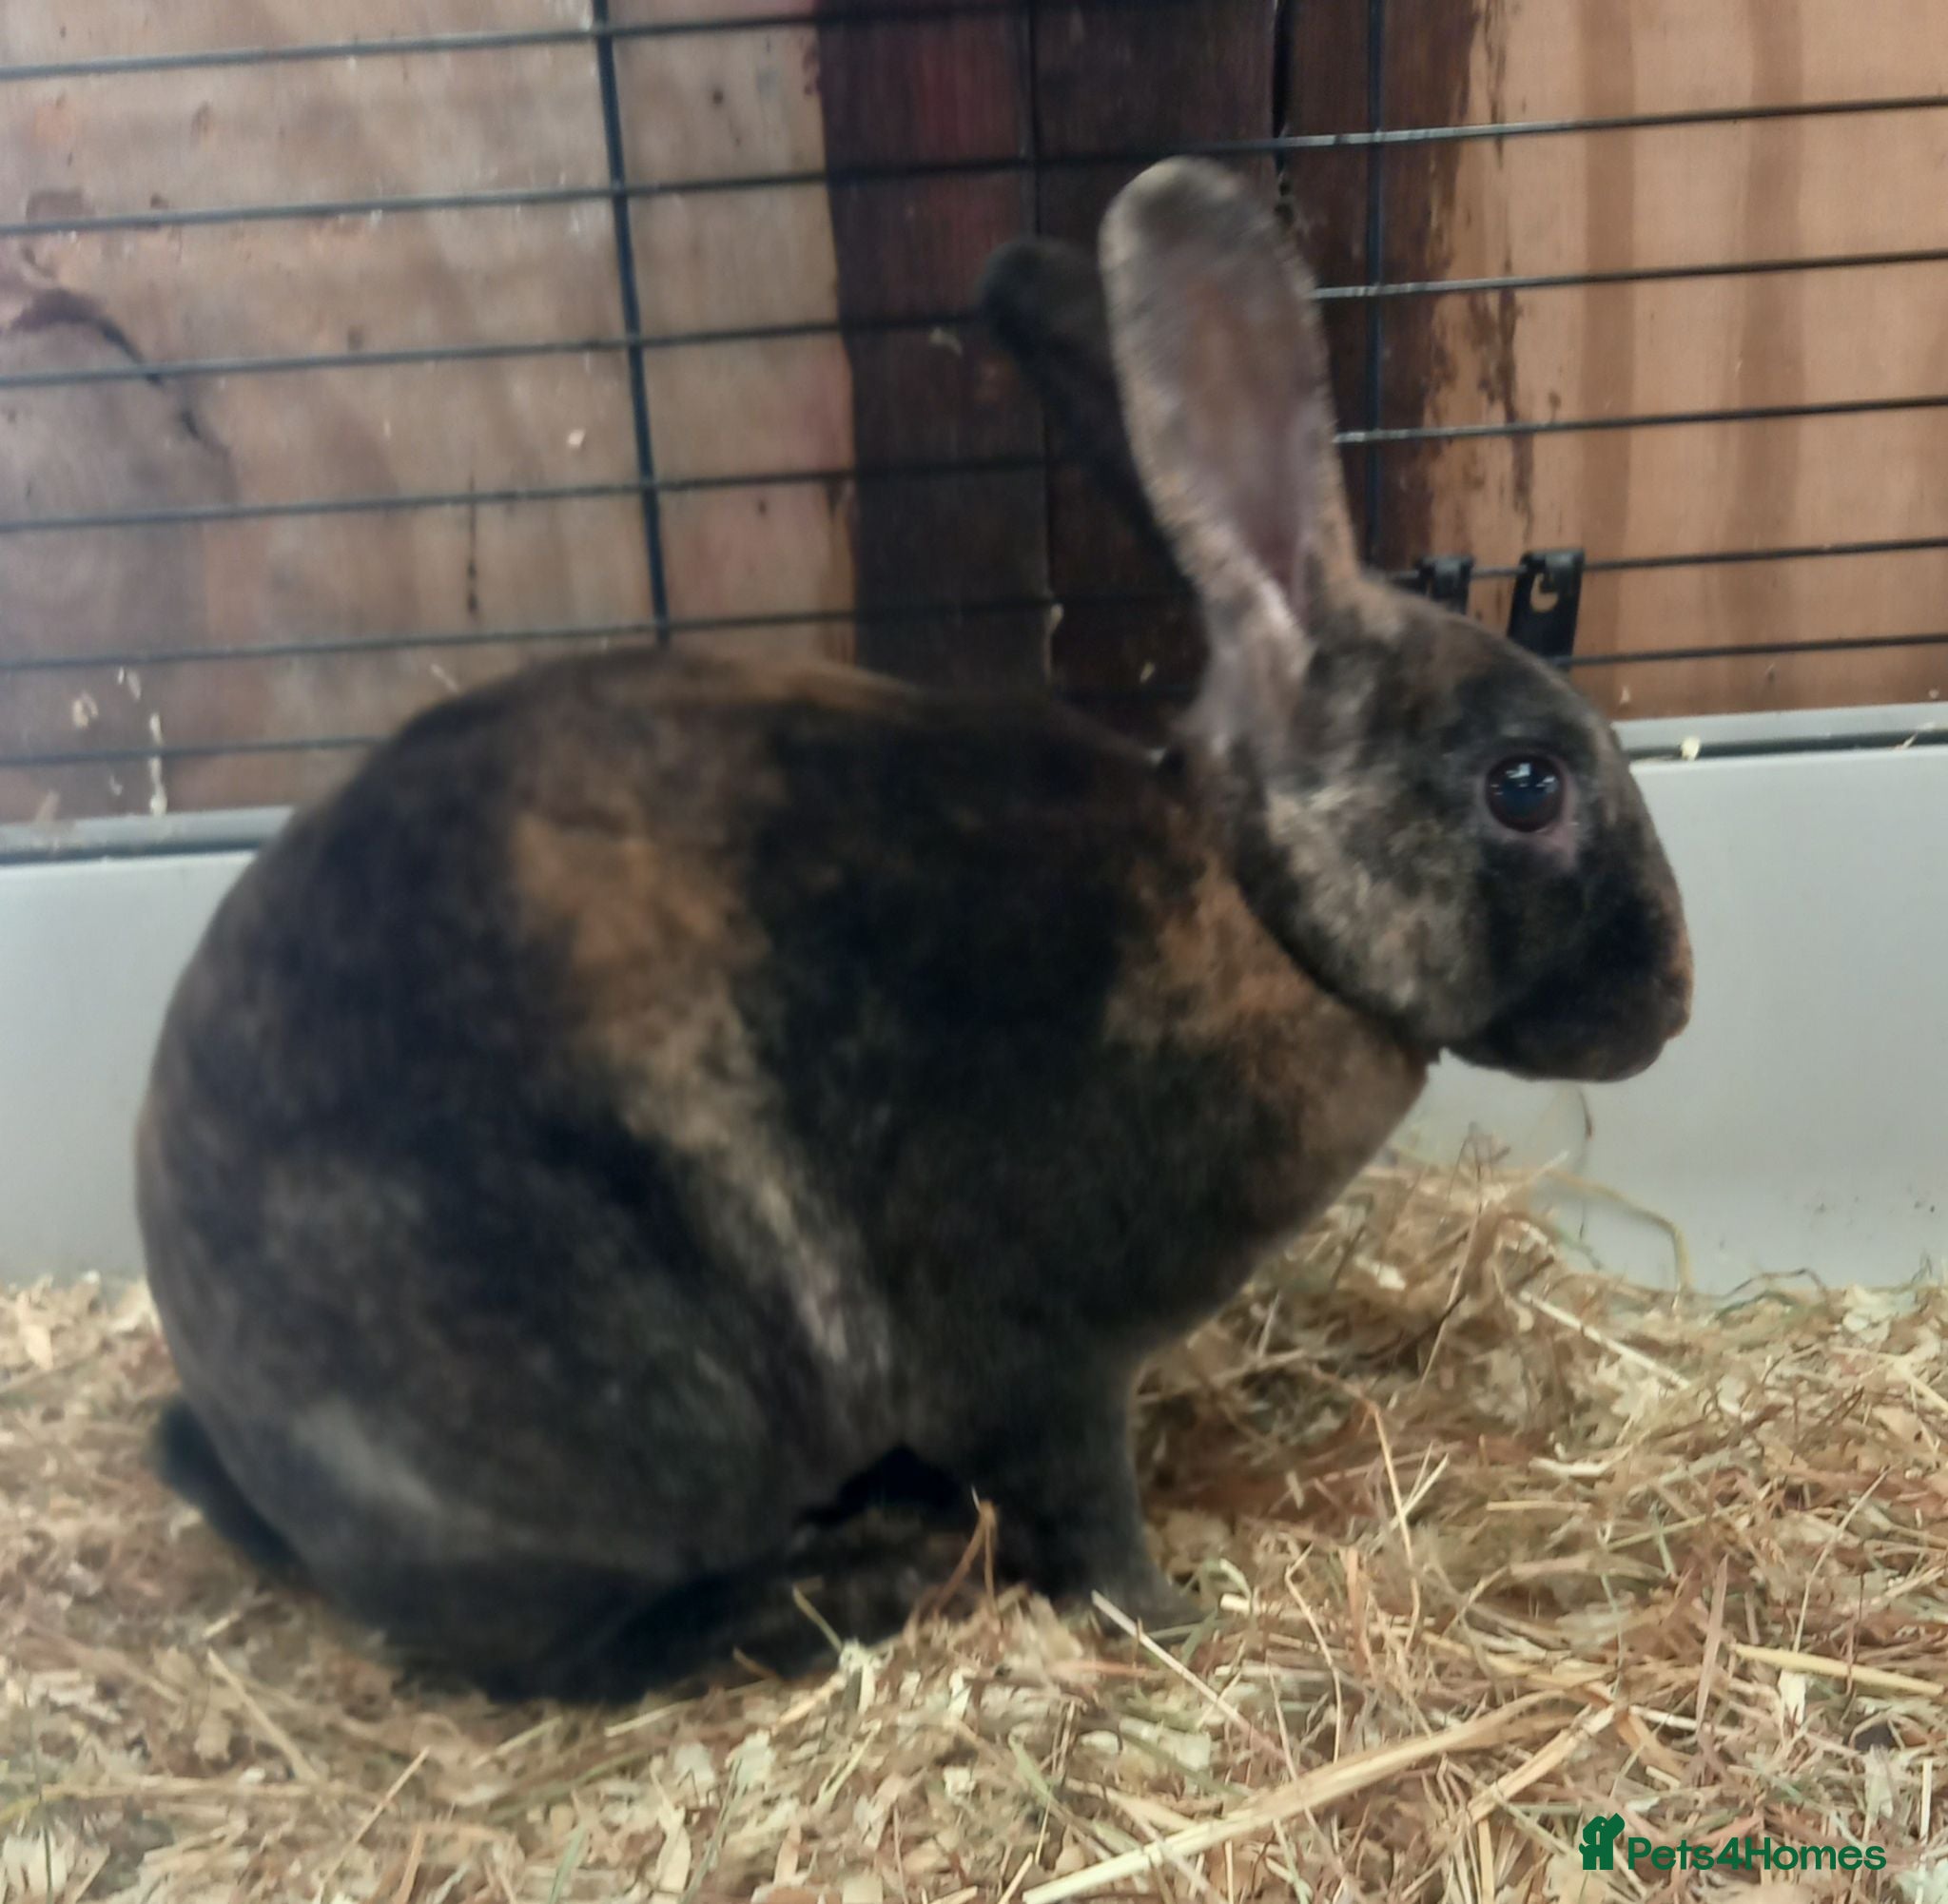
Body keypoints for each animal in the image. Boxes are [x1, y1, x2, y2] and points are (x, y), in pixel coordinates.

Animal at [137, 157, 1691, 1705]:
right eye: (1527, 784)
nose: (1670, 1003)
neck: (1249, 909)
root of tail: (266, 1473)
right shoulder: (1038, 1366)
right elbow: (1085, 1510)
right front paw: (1173, 1620)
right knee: (579, 1646)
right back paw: (852, 1584)